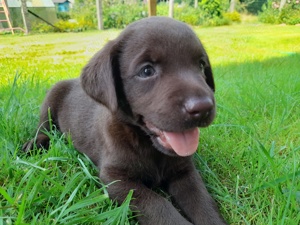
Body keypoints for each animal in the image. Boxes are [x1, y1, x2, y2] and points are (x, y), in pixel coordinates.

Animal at [23, 16, 227, 224]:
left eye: (201, 66)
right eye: (147, 71)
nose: (203, 107)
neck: (149, 146)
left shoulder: (185, 171)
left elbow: (203, 204)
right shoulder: (115, 178)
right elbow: (159, 206)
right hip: (51, 98)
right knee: (43, 127)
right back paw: (35, 144)